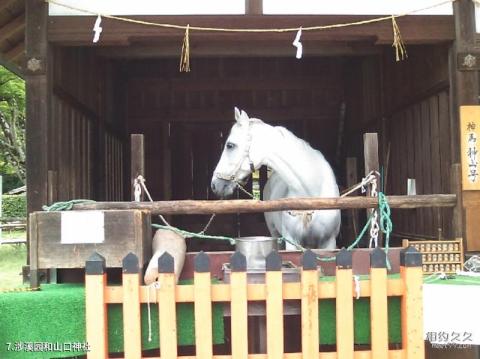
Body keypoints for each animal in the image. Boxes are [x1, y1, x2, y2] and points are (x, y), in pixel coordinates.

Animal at [211, 108, 342, 249]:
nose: (214, 185)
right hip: (275, 233)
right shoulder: (292, 241)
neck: (311, 194)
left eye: (230, 145)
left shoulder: (328, 243)